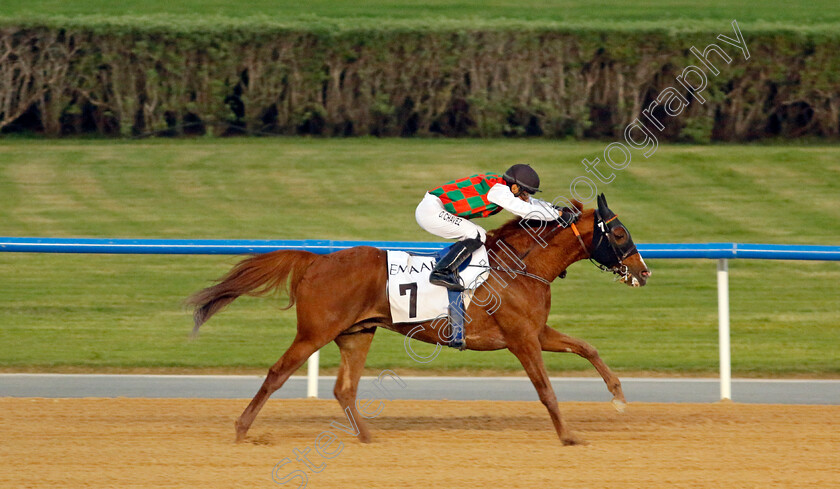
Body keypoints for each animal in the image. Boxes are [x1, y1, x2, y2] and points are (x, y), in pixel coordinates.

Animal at [189, 193, 648, 444]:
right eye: (619, 233)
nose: (643, 272)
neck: (521, 266)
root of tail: (317, 260)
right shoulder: (522, 339)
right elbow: (546, 390)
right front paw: (568, 435)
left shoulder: (536, 330)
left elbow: (587, 347)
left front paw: (618, 396)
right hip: (315, 331)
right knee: (277, 373)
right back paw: (241, 429)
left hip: (357, 333)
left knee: (344, 389)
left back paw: (367, 437)